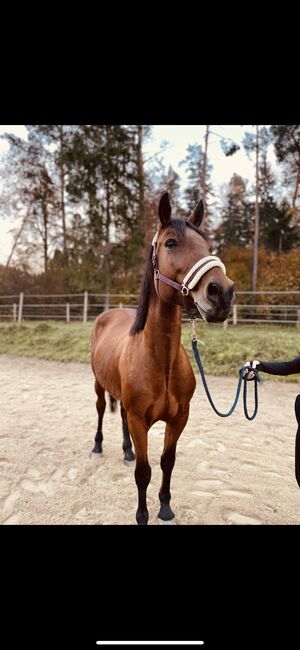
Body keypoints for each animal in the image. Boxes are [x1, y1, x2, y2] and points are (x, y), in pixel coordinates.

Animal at [91, 191, 234, 520]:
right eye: (170, 243)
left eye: (208, 246)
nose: (221, 292)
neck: (160, 363)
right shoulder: (140, 421)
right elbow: (143, 472)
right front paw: (142, 515)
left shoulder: (179, 418)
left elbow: (167, 462)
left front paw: (166, 507)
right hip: (98, 385)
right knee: (102, 410)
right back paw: (98, 446)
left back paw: (127, 450)